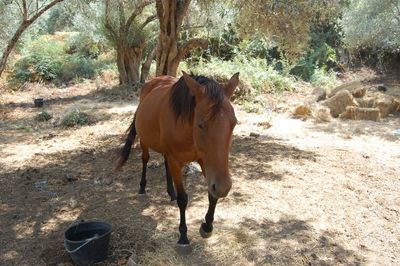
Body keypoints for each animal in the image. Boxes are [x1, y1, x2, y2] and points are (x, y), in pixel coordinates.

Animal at [117, 71, 239, 250]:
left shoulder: (207, 163)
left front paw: (207, 226)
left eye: (234, 123)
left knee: (165, 165)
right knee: (145, 160)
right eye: (200, 125)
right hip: (145, 141)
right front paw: (183, 236)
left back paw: (171, 192)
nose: (224, 187)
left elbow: (212, 194)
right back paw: (142, 187)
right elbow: (183, 199)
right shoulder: (177, 161)